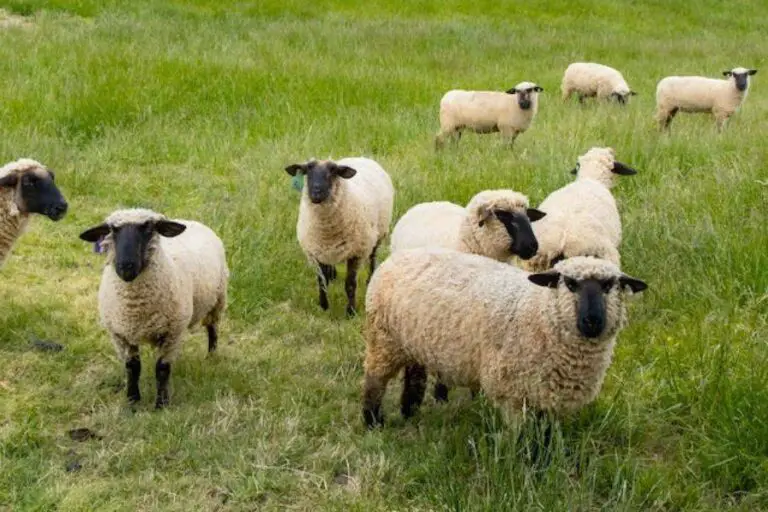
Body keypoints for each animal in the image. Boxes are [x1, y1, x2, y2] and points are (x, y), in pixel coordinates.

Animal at [79, 208, 229, 409]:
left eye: (148, 228)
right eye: (112, 230)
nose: (126, 266)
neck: (135, 306)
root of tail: (190, 221)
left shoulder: (172, 333)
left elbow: (162, 369)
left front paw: (161, 404)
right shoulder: (120, 335)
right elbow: (132, 368)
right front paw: (132, 401)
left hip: (218, 300)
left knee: (212, 329)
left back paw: (211, 356)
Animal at [284, 157, 394, 317]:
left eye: (332, 171)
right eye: (308, 170)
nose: (316, 193)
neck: (327, 232)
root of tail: (362, 157)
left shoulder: (356, 253)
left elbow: (350, 284)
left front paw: (351, 312)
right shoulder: (316, 251)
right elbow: (321, 282)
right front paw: (323, 306)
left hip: (377, 233)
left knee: (373, 256)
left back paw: (370, 279)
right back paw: (332, 275)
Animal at [362, 251, 647, 428]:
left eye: (609, 285)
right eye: (570, 284)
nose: (592, 321)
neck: (538, 312)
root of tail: (398, 256)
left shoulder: (548, 396)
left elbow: (545, 436)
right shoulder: (511, 392)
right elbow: (524, 439)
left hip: (413, 342)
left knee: (414, 375)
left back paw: (410, 411)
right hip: (383, 340)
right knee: (375, 380)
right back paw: (373, 422)